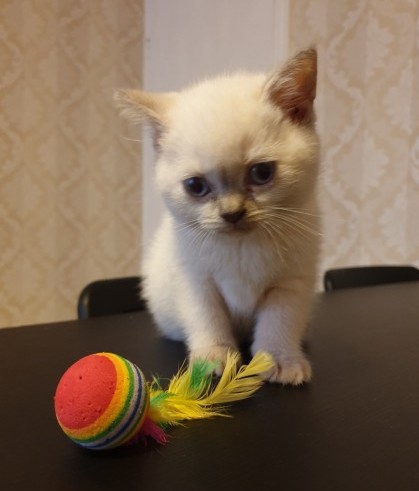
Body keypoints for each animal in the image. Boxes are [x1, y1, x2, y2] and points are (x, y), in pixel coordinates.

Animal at [116, 49, 320, 384]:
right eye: (196, 186)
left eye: (262, 173)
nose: (232, 213)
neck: (242, 247)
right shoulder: (196, 282)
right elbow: (208, 320)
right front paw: (213, 360)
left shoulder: (290, 283)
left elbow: (279, 323)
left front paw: (279, 360)